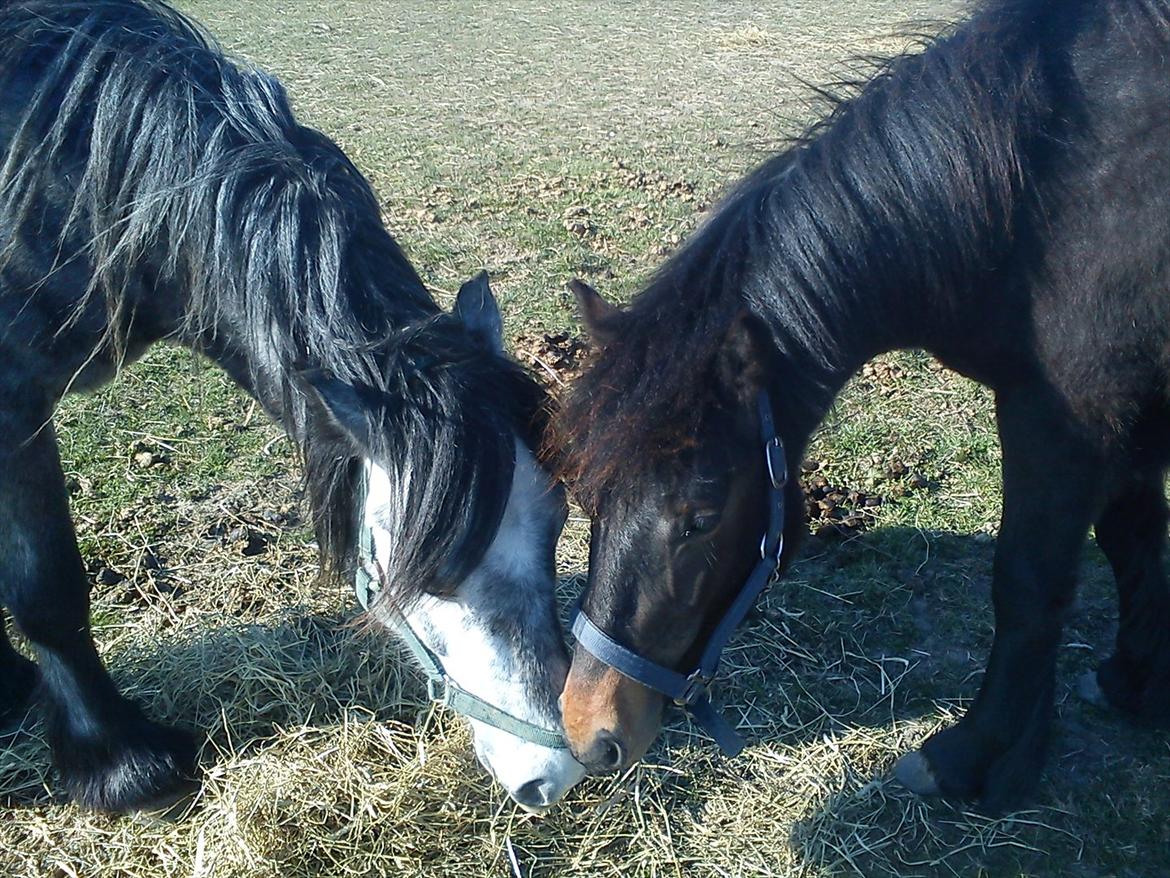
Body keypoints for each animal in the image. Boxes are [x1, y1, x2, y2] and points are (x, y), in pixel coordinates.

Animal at [0, 0, 583, 814]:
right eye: (427, 570)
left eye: (558, 520)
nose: (555, 774)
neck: (78, 185)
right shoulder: (16, 402)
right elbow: (47, 585)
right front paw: (120, 764)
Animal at [552, 0, 1169, 811]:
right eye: (587, 497)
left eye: (701, 518)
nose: (588, 730)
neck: (1043, 191)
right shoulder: (1126, 416)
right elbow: (1134, 540)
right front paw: (1138, 682)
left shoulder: (1070, 419)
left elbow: (1029, 584)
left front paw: (976, 756)